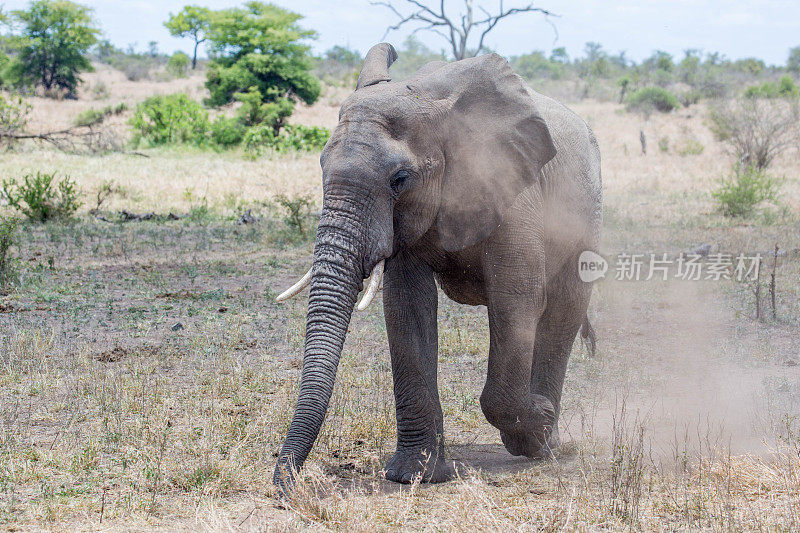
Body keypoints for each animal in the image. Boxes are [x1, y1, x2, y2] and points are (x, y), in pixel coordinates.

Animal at [272, 41, 596, 490]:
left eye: (400, 179)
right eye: (320, 166)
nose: (284, 481)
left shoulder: (513, 189)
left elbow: (517, 298)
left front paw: (539, 420)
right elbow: (406, 303)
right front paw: (415, 476)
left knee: (564, 310)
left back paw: (547, 445)